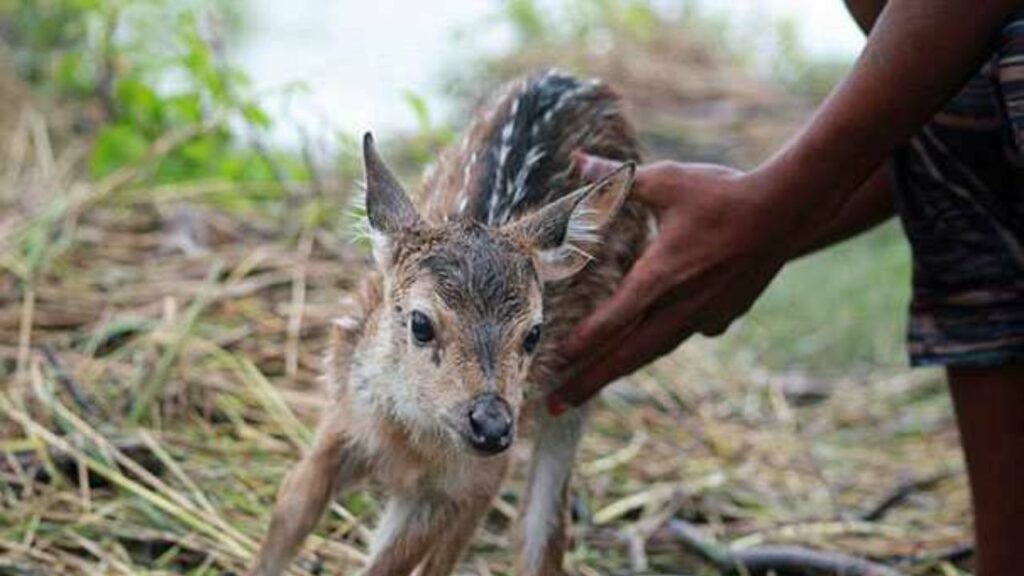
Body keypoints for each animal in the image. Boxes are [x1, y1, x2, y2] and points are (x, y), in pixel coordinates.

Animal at [247, 69, 647, 569]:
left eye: (534, 333)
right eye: (421, 323)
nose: (491, 424)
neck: (408, 439)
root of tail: (583, 80)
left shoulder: (456, 484)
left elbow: (393, 564)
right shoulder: (341, 419)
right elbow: (287, 515)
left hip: (576, 389)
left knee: (537, 527)